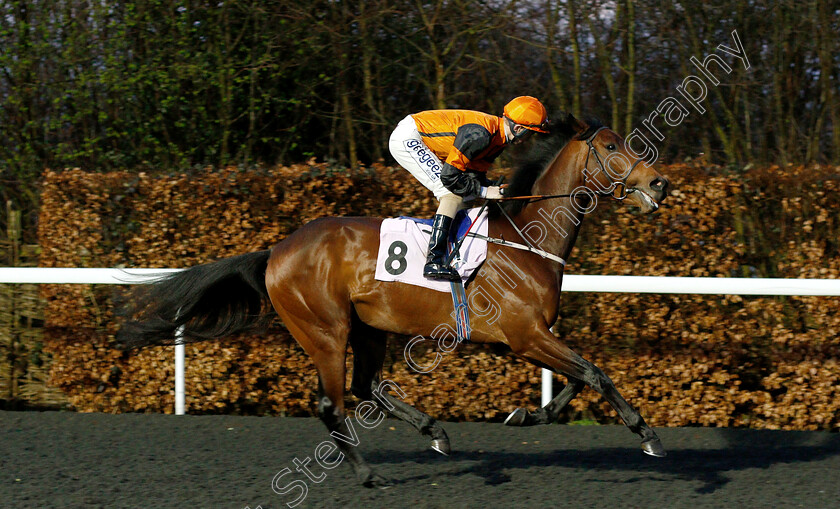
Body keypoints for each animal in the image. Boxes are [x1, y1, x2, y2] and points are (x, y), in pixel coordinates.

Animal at [116, 113, 668, 486]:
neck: (525, 240)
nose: (659, 183)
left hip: (368, 327)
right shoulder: (524, 335)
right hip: (325, 330)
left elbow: (578, 379)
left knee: (365, 386)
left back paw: (434, 431)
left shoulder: (528, 338)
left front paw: (529, 416)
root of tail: (277, 250)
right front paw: (648, 435)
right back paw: (368, 474)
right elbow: (595, 373)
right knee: (332, 403)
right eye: (613, 147)